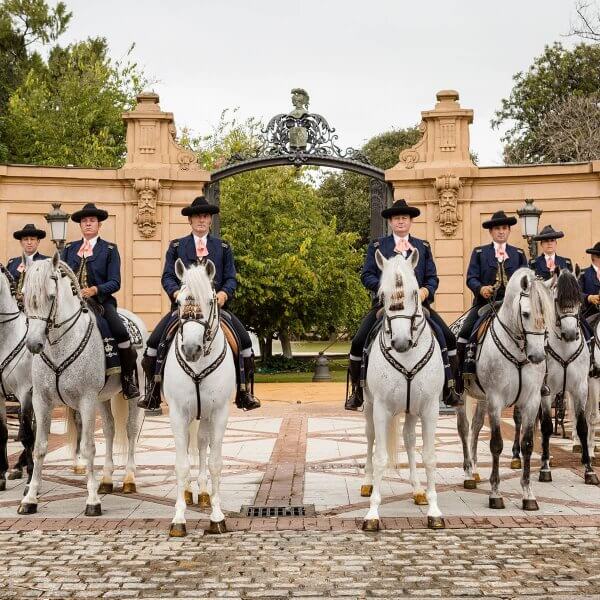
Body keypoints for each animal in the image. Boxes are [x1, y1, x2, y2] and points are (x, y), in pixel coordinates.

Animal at [16, 253, 148, 516]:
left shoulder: (86, 400)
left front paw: (93, 501)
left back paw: (129, 478)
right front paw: (30, 499)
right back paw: (106, 480)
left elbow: (87, 447)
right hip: (104, 398)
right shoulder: (41, 401)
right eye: (24, 296)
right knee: (109, 429)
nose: (34, 344)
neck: (59, 346)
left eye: (51, 296)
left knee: (129, 430)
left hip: (132, 396)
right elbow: (40, 447)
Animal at [163, 260, 236, 536]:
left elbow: (214, 462)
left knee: (203, 443)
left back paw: (204, 493)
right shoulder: (177, 413)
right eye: (179, 301)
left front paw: (217, 516)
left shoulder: (219, 413)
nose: (191, 349)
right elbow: (181, 464)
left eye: (211, 300)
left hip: (205, 415)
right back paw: (188, 491)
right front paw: (179, 518)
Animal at [360, 251, 446, 532]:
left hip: (412, 410)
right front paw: (373, 513)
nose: (399, 342)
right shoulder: (381, 408)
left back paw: (417, 489)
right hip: (369, 407)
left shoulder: (430, 409)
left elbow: (429, 456)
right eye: (382, 294)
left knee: (409, 440)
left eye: (415, 293)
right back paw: (367, 482)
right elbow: (380, 457)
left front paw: (434, 510)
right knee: (370, 438)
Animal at [458, 270, 556, 508]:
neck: (519, 352)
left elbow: (528, 444)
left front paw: (528, 494)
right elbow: (496, 444)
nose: (537, 357)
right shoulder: (495, 400)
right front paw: (495, 493)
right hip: (463, 396)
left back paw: (476, 470)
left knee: (476, 427)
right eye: (526, 314)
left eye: (547, 316)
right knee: (464, 429)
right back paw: (468, 473)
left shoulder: (531, 401)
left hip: (481, 398)